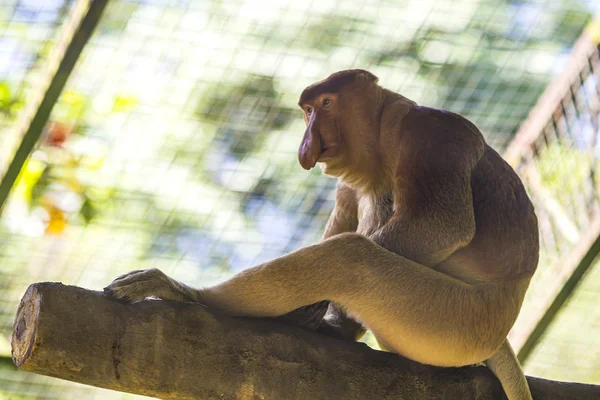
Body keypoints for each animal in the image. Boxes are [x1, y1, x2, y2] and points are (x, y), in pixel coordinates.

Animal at [105, 69, 540, 400]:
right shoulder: (352, 182)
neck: (387, 134)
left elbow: (443, 224)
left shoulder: (434, 135)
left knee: (350, 258)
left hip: (459, 321)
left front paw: (310, 308)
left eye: (326, 104)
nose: (307, 144)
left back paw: (191, 295)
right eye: (307, 110)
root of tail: (503, 321)